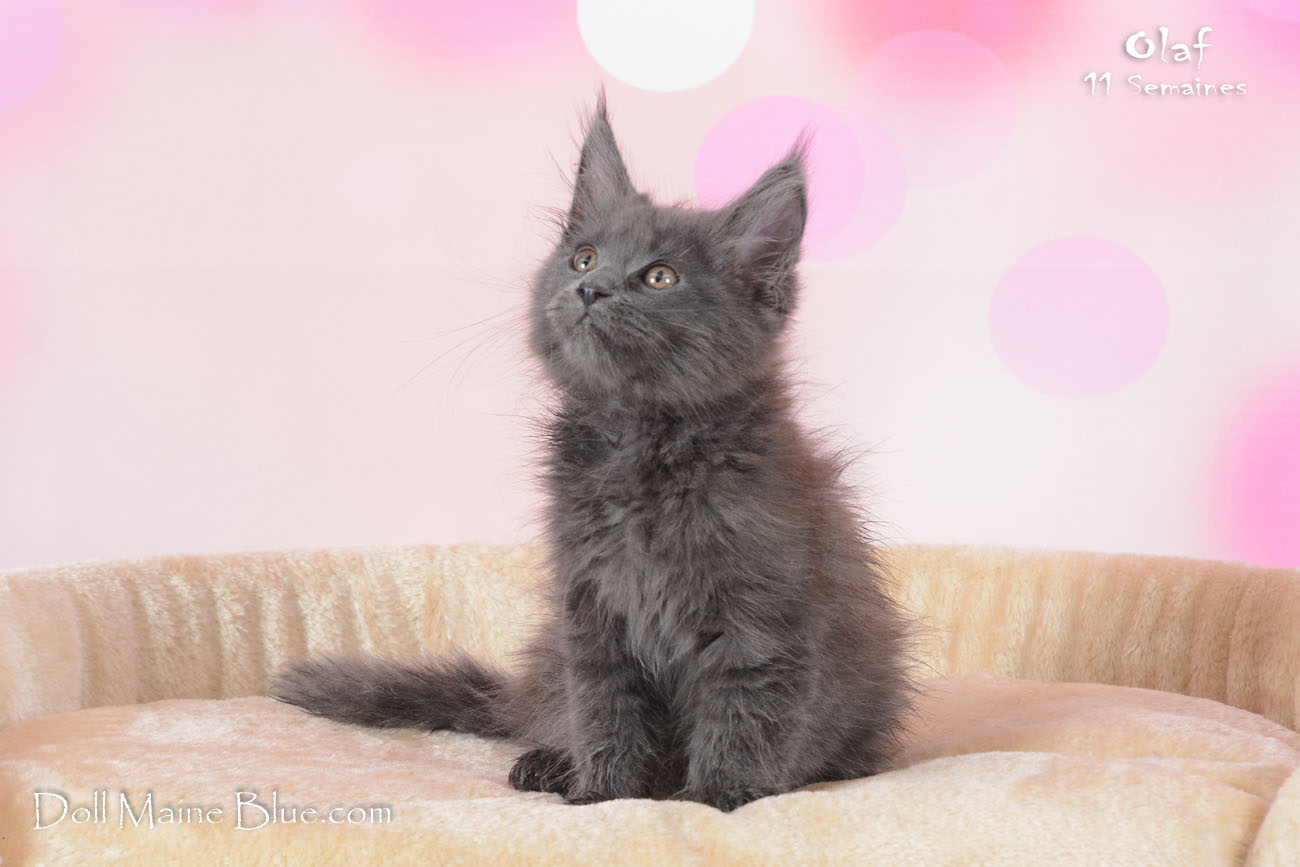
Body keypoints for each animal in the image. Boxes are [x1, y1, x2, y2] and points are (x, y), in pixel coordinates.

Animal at [272, 96, 914, 813]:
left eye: (659, 277)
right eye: (583, 258)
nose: (592, 289)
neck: (637, 444)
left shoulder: (762, 612)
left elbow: (745, 710)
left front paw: (719, 797)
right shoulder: (590, 606)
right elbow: (605, 707)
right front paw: (604, 796)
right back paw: (550, 765)